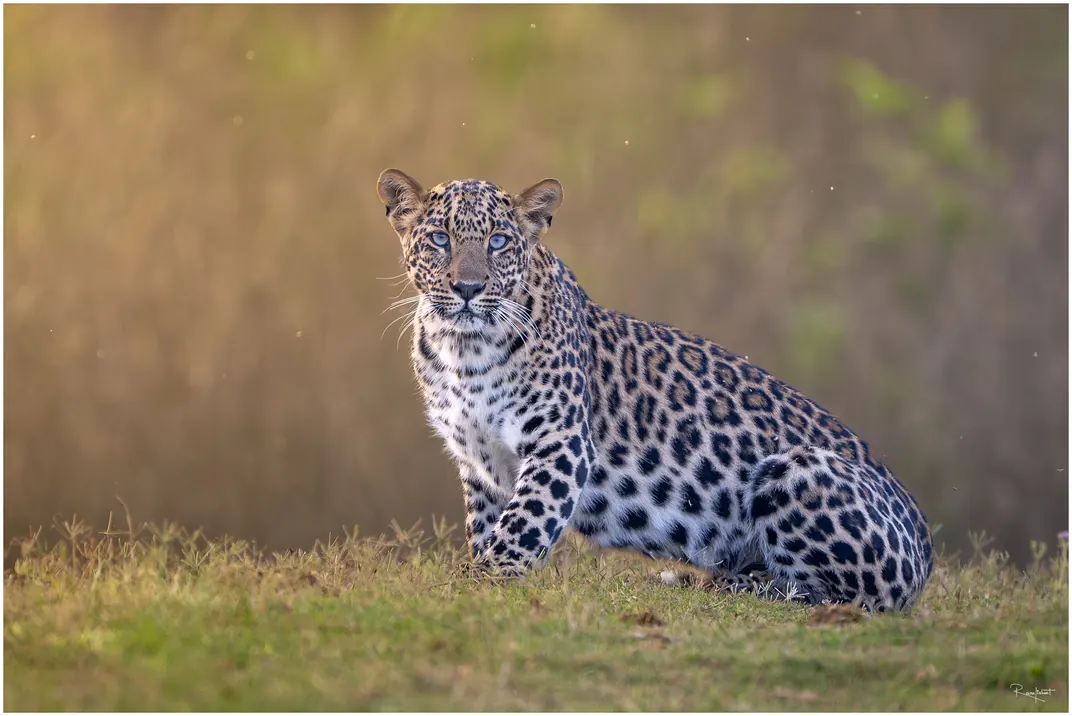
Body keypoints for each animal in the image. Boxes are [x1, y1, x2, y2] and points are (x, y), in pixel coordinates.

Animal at [376, 168, 934, 613]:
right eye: (440, 239)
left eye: (497, 241)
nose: (468, 288)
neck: (464, 352)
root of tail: (927, 545)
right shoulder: (478, 461)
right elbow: (487, 524)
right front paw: (478, 572)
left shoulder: (560, 442)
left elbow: (523, 521)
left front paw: (483, 579)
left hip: (797, 469)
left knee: (844, 595)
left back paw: (726, 586)